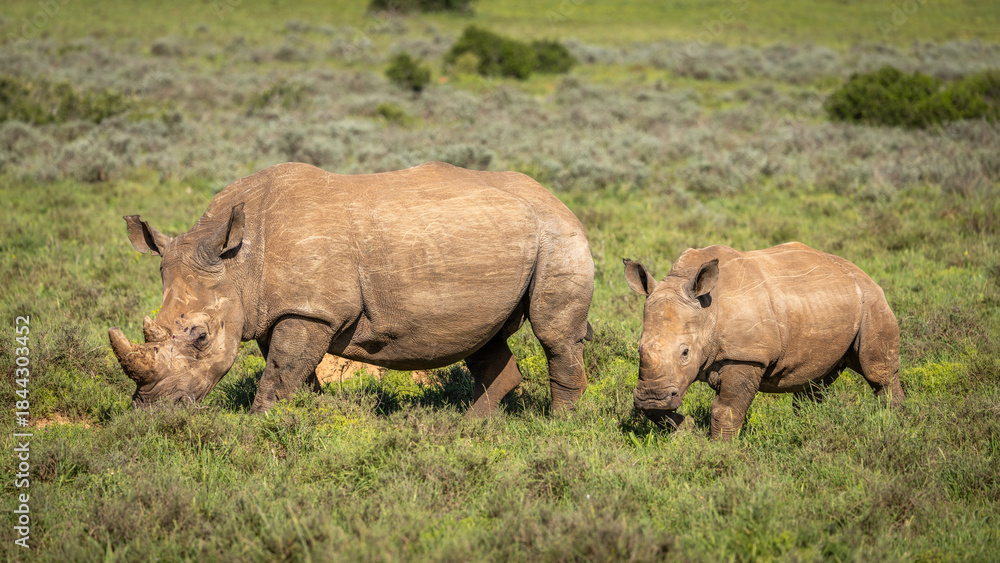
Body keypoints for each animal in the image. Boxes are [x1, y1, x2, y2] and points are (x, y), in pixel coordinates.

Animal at [109, 161, 594, 415]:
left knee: (553, 334)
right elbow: (289, 370)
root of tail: (556, 197)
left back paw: (557, 425)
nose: (150, 409)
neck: (237, 262)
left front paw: (261, 424)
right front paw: (305, 417)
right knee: (481, 340)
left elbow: (281, 371)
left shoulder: (309, 309)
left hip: (558, 235)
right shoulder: (274, 308)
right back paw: (469, 428)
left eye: (201, 337)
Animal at [623, 243, 904, 440]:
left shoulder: (747, 356)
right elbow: (659, 408)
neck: (707, 311)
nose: (651, 397)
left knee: (878, 372)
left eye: (685, 353)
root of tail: (859, 271)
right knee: (814, 382)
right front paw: (687, 428)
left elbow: (726, 409)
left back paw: (894, 423)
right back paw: (809, 426)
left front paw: (720, 449)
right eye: (639, 349)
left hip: (871, 300)